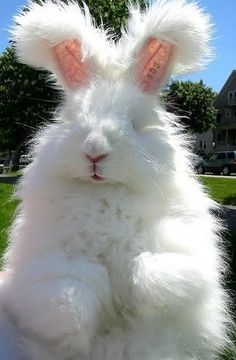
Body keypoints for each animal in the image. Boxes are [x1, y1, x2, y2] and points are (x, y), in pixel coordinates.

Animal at [0, 0, 230, 360]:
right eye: (73, 121)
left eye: (135, 124)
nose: (95, 152)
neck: (105, 194)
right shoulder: (47, 264)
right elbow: (68, 292)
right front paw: (87, 298)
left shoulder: (179, 247)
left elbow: (154, 272)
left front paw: (136, 288)